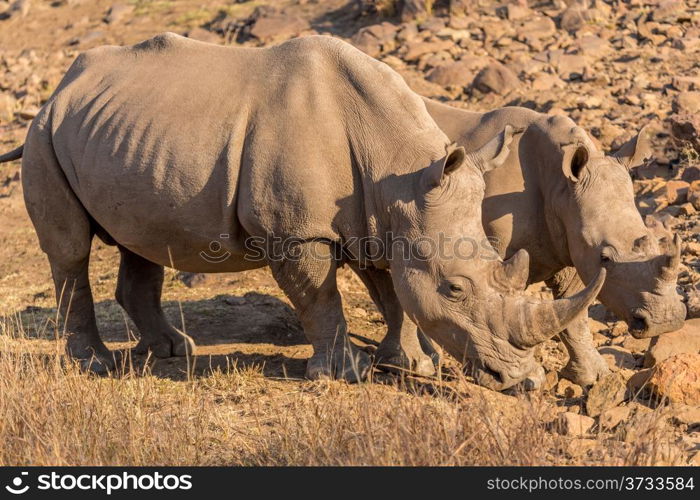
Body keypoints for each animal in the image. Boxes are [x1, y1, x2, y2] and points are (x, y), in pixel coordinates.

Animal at [0, 34, 600, 386]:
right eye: (455, 288)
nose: (526, 382)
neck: (397, 164)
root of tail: (61, 87)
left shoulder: (382, 215)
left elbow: (392, 294)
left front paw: (411, 363)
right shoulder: (298, 231)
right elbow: (321, 297)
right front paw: (345, 373)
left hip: (122, 132)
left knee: (141, 239)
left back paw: (171, 352)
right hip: (43, 134)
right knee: (71, 250)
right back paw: (96, 364)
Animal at [394, 98, 684, 386]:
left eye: (656, 243)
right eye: (605, 258)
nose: (665, 322)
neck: (560, 184)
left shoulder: (570, 241)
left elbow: (575, 314)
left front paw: (593, 378)